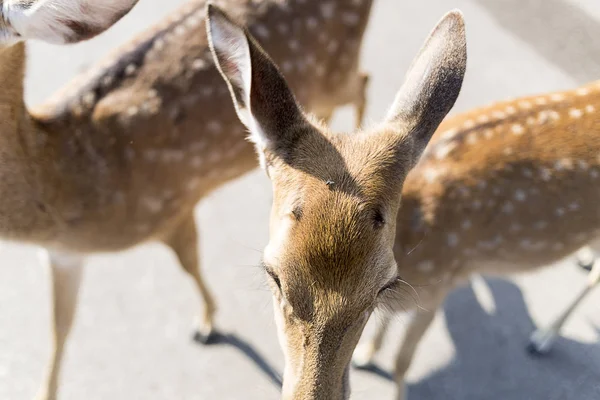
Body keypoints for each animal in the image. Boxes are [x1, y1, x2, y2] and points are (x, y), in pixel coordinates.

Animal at [0, 0, 376, 400]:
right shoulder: (62, 256)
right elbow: (60, 329)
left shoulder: (172, 208)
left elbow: (190, 263)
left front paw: (207, 324)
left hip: (336, 70)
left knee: (363, 80)